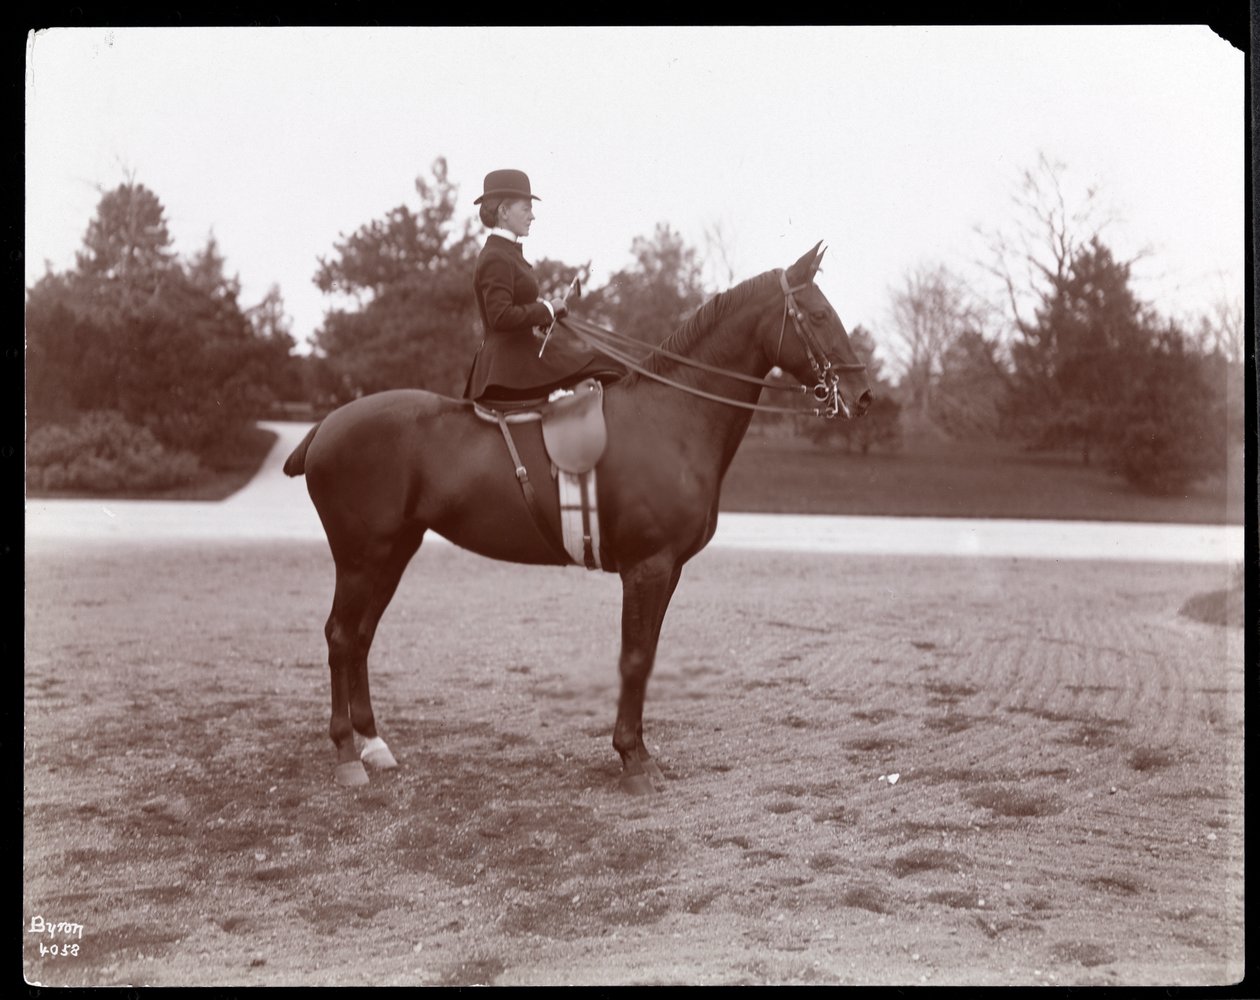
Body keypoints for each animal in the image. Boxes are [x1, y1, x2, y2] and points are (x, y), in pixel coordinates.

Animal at [286, 238, 871, 790]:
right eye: (819, 315)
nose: (863, 396)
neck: (671, 418)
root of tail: (327, 425)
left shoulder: (668, 570)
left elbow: (646, 656)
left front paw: (639, 752)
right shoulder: (647, 568)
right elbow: (634, 658)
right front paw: (633, 760)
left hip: (393, 552)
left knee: (361, 637)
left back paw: (373, 743)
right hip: (361, 557)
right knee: (341, 637)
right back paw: (347, 753)